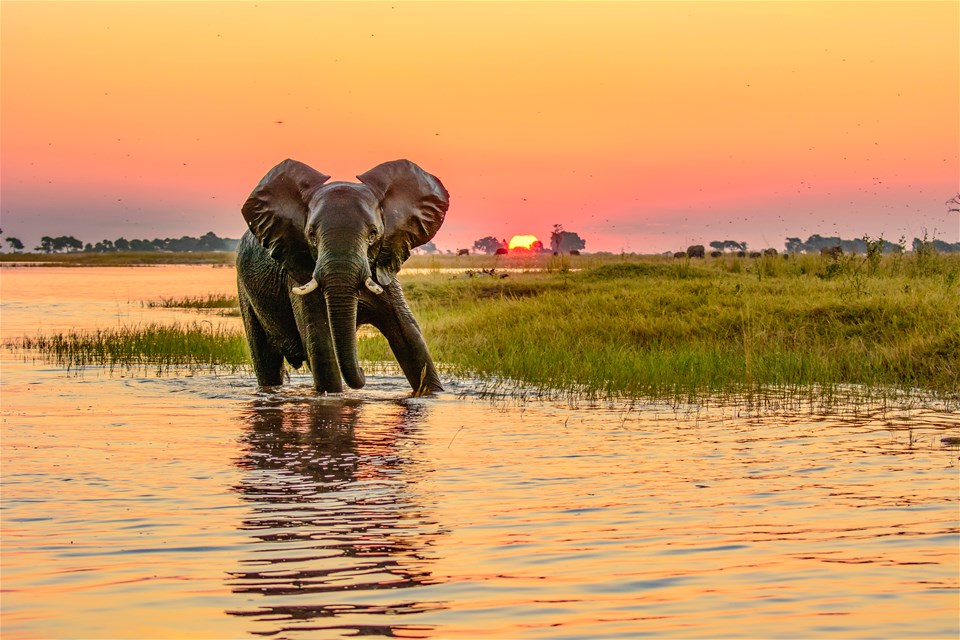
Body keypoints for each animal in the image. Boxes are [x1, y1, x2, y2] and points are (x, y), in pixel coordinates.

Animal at [238, 159, 452, 396]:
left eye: (373, 234)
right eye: (311, 235)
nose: (363, 371)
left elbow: (409, 336)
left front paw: (432, 394)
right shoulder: (299, 272)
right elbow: (321, 343)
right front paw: (333, 397)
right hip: (245, 292)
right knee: (266, 360)